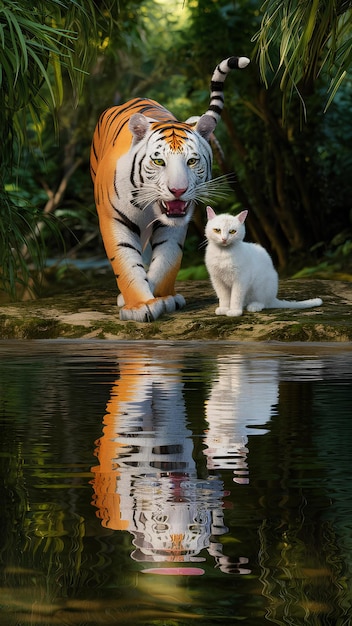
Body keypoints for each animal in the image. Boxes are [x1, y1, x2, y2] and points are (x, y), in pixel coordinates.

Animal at [91, 55, 250, 320]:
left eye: (192, 161)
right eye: (158, 162)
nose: (178, 190)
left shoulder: (175, 226)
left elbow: (167, 259)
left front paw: (163, 297)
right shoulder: (114, 219)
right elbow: (126, 263)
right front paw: (140, 305)